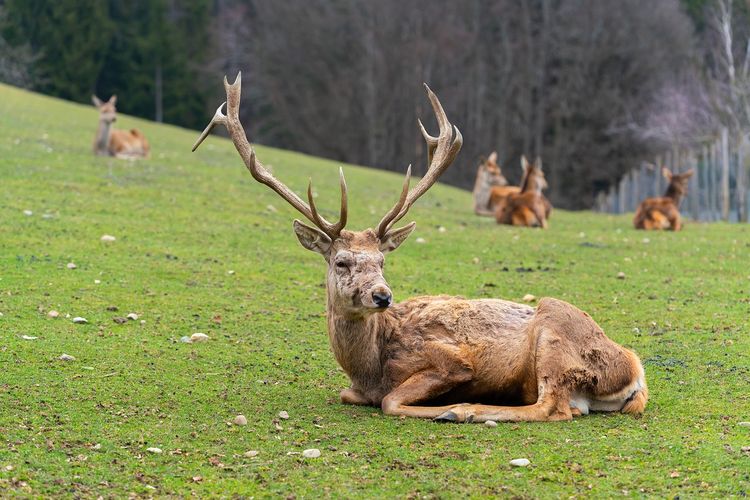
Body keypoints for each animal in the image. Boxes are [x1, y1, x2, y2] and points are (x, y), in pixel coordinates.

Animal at [192, 74, 648, 424]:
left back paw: (464, 410)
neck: (370, 366)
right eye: (341, 261)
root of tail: (635, 369)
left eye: (382, 260)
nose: (382, 295)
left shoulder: (452, 360)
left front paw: (446, 405)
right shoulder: (356, 387)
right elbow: (348, 394)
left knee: (553, 407)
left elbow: (392, 400)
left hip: (555, 333)